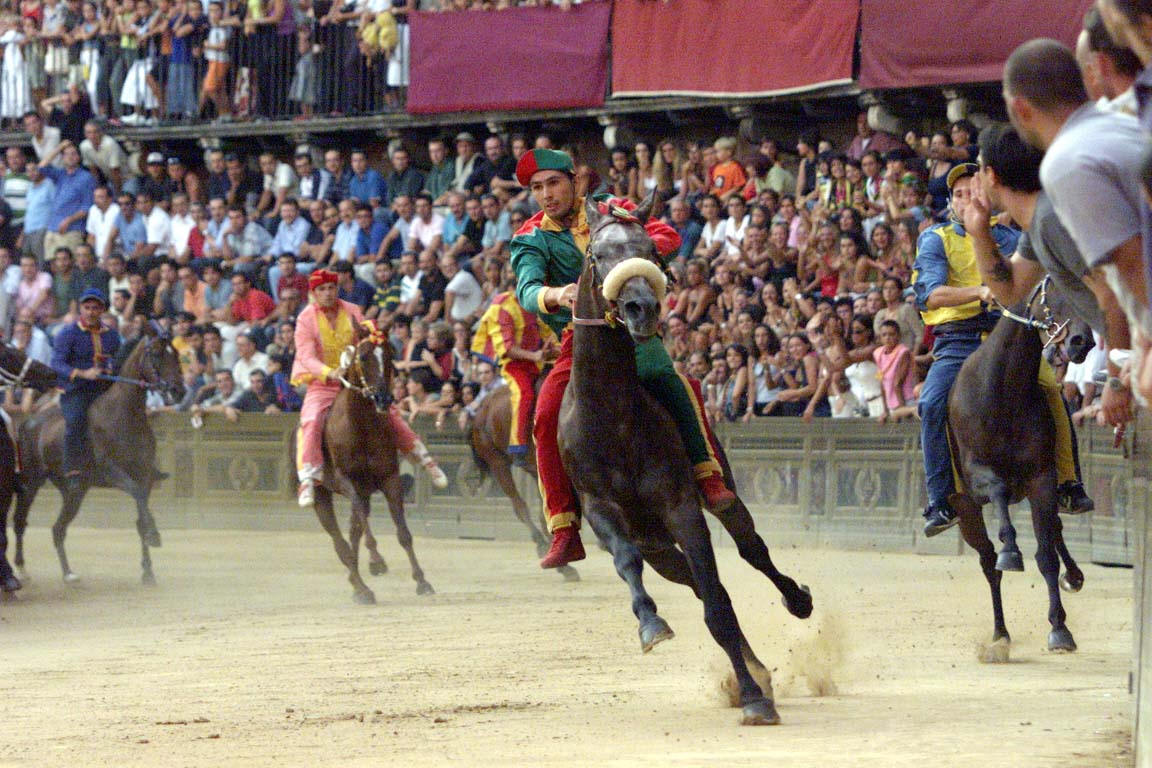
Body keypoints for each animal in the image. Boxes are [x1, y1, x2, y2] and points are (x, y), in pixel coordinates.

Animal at [14, 322, 184, 584]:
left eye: (175, 354)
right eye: (156, 353)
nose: (179, 391)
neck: (123, 414)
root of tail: (29, 421)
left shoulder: (144, 475)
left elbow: (141, 514)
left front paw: (148, 571)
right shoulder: (113, 473)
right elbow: (138, 498)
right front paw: (155, 535)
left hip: (74, 492)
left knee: (58, 529)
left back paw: (69, 574)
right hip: (31, 483)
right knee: (20, 522)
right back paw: (22, 570)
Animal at [313, 333, 433, 603]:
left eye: (389, 355)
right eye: (363, 357)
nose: (383, 398)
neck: (361, 427)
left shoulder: (390, 479)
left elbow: (403, 533)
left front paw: (422, 580)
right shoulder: (347, 481)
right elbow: (361, 522)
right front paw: (377, 562)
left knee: (352, 533)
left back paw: (358, 584)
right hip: (320, 494)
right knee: (340, 540)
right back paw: (361, 586)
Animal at [555, 196, 811, 727]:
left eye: (652, 249)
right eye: (598, 256)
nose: (641, 307)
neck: (613, 414)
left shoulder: (681, 507)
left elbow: (719, 605)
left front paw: (754, 698)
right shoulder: (601, 508)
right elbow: (630, 562)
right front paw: (651, 624)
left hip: (718, 496)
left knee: (750, 550)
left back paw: (794, 605)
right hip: (657, 544)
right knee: (688, 578)